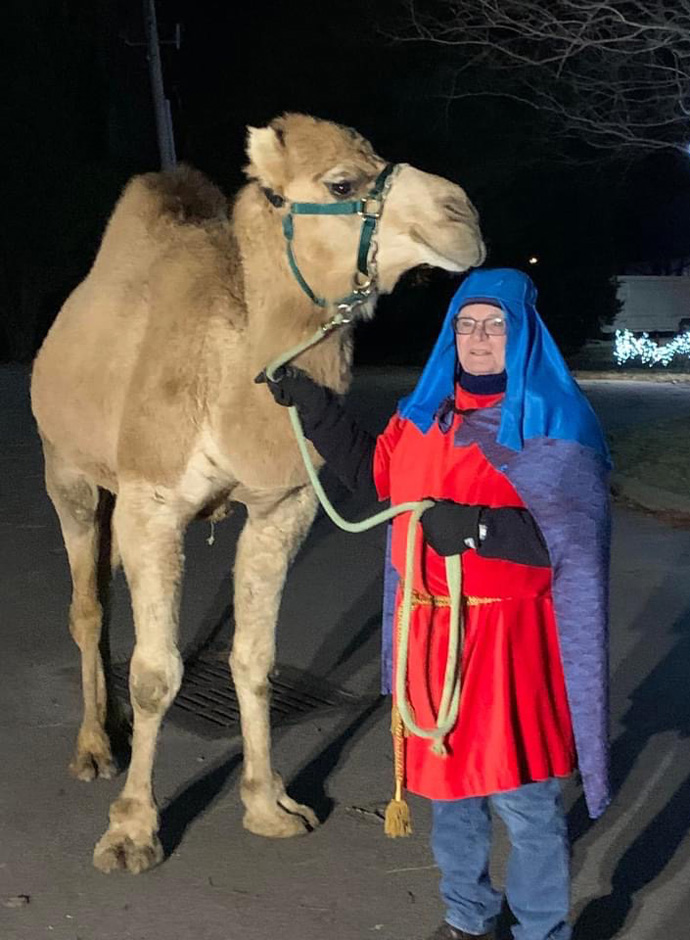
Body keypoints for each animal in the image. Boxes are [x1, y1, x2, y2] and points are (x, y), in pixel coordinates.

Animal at [30, 112, 484, 872]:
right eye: (343, 183)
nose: (464, 216)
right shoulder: (155, 502)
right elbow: (157, 673)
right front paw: (131, 831)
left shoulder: (284, 507)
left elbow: (255, 658)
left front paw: (269, 805)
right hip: (66, 467)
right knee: (87, 605)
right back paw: (94, 748)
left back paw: (114, 728)